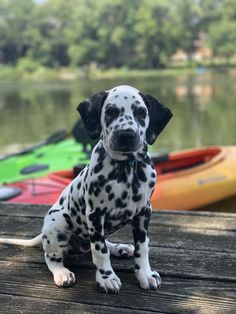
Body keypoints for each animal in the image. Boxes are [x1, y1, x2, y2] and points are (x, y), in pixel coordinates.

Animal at [0, 84, 172, 294]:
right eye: (110, 112)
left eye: (141, 112)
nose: (126, 135)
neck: (126, 168)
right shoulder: (96, 214)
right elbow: (99, 250)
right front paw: (106, 278)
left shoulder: (144, 212)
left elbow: (143, 247)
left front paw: (145, 274)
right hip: (58, 224)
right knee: (52, 257)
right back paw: (62, 273)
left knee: (102, 244)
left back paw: (120, 248)